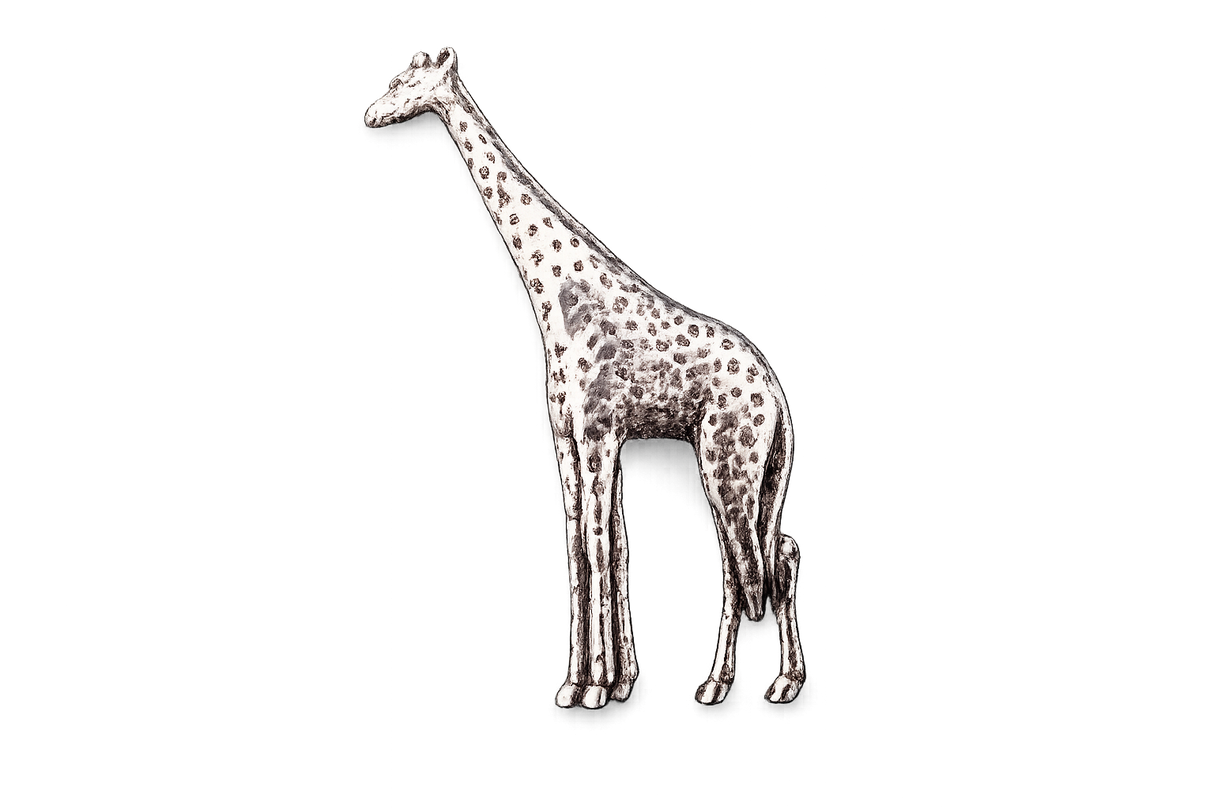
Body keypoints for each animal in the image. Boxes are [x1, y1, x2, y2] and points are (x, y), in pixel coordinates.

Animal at [365, 44, 806, 709]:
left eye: (407, 77)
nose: (369, 113)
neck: (556, 295)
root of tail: (778, 395)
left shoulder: (599, 435)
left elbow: (599, 547)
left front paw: (598, 687)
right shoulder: (572, 439)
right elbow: (589, 545)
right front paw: (590, 681)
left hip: (728, 459)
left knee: (754, 560)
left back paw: (749, 684)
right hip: (756, 468)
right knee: (764, 555)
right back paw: (746, 682)